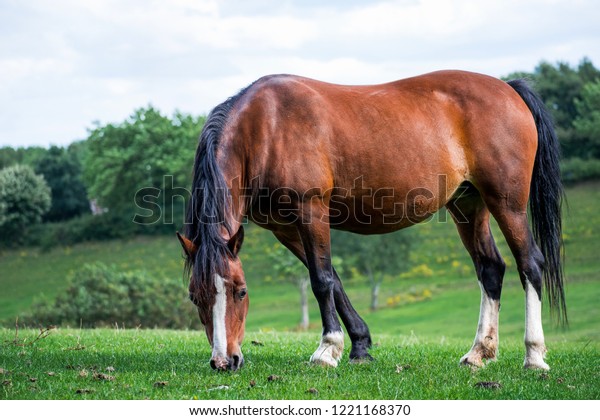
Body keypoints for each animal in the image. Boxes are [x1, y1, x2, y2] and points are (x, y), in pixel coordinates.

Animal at [176, 70, 564, 372]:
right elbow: (334, 280)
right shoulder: (285, 228)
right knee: (490, 268)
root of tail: (508, 88)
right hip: (468, 206)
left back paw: (534, 356)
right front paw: (359, 345)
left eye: (241, 291)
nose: (225, 361)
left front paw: (327, 349)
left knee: (530, 263)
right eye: (195, 296)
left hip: (506, 203)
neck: (266, 128)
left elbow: (321, 280)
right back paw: (479, 352)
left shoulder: (311, 212)